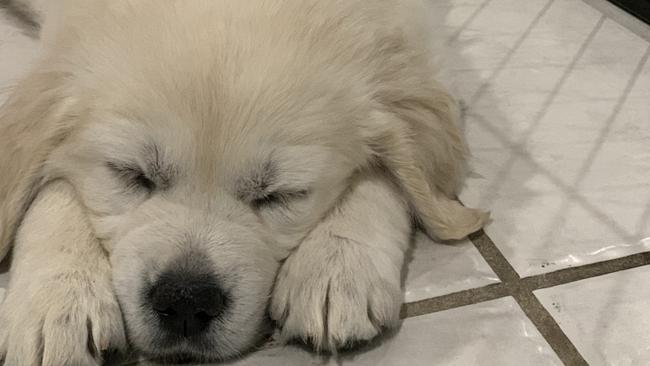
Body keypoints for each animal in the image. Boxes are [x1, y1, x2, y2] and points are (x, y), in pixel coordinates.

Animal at [0, 0, 486, 364]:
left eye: (280, 195)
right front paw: (55, 299)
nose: (186, 300)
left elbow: (391, 169)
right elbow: (52, 183)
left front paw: (335, 266)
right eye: (131, 175)